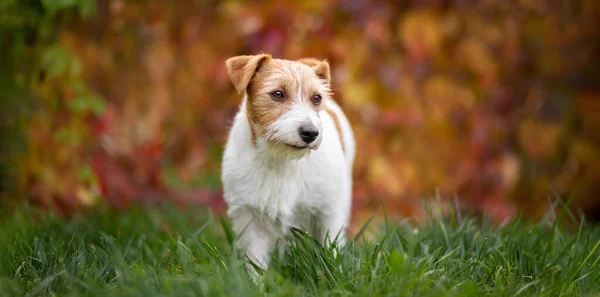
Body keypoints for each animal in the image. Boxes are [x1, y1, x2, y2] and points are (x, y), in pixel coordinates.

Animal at [221, 53, 354, 276]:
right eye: (277, 94)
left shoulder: (328, 211)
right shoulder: (250, 217)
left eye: (316, 98)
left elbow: (331, 249)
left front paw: (334, 275)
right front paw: (256, 282)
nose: (310, 133)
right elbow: (256, 261)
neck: (282, 160)